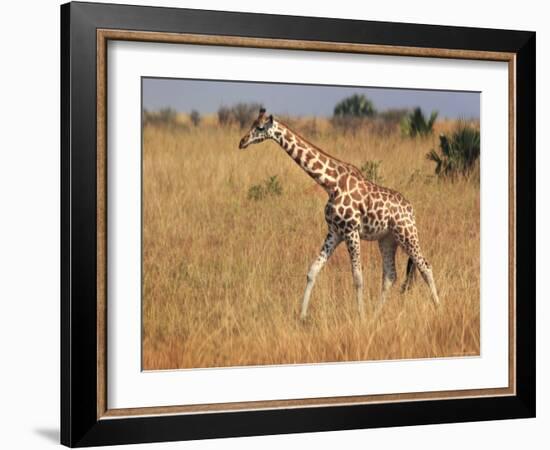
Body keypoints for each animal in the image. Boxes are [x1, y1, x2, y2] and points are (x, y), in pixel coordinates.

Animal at [239, 109, 442, 320]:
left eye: (260, 127)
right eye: (252, 124)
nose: (242, 141)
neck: (331, 183)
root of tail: (411, 209)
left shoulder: (351, 231)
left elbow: (358, 277)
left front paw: (361, 316)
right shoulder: (335, 232)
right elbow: (313, 270)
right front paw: (302, 316)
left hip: (407, 234)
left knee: (425, 266)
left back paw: (438, 307)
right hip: (387, 240)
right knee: (390, 275)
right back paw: (377, 314)